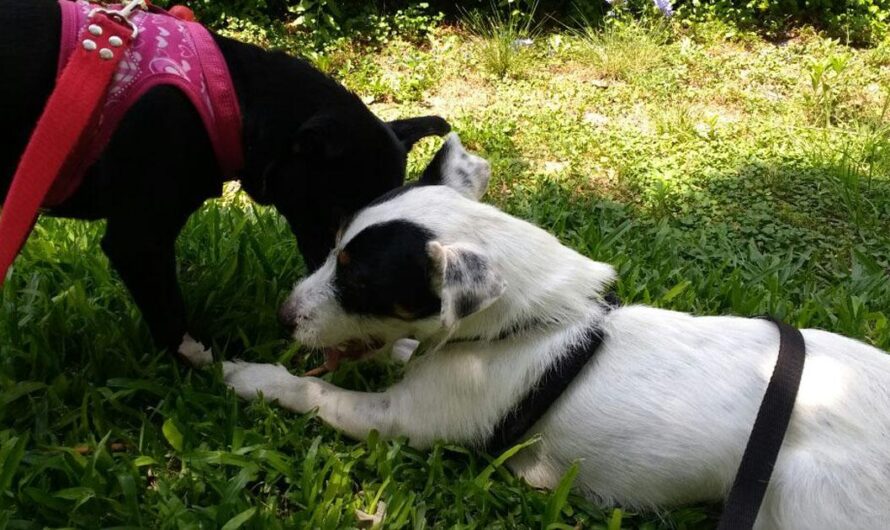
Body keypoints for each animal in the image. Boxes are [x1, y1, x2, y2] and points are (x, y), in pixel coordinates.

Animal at [224, 134, 888, 524]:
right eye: (332, 247)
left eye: (359, 284)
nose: (282, 317)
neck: (535, 324)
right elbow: (408, 348)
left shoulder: (404, 420)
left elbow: (315, 389)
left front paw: (253, 376)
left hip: (802, 495)